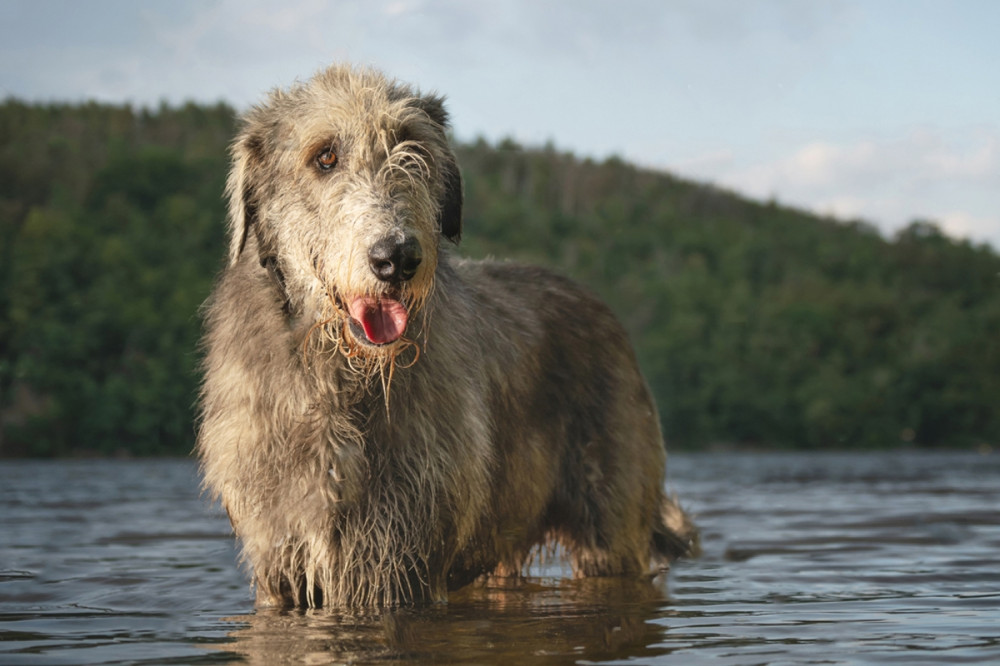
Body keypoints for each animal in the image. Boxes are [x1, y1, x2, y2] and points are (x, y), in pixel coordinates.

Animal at [195, 65, 696, 604]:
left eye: (412, 148)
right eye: (324, 156)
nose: (396, 257)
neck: (340, 374)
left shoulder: (406, 558)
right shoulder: (281, 562)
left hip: (610, 524)